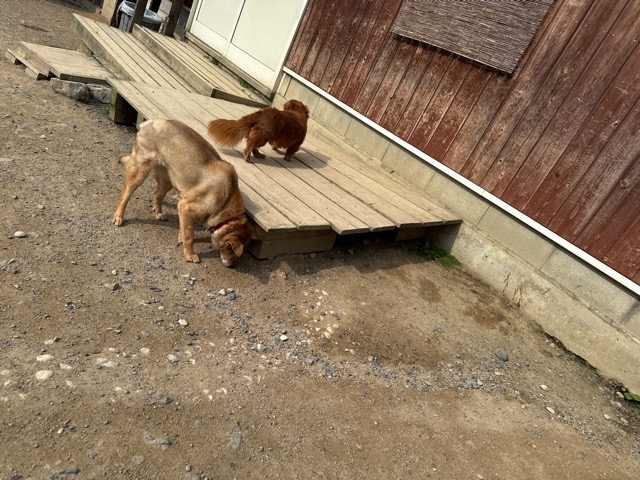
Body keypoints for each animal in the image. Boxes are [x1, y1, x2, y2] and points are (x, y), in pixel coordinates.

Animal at [112, 119, 256, 267]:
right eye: (230, 248)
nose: (232, 265)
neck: (225, 202)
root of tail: (150, 122)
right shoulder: (185, 207)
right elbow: (189, 235)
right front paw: (190, 254)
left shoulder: (185, 211)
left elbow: (185, 229)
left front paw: (181, 236)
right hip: (139, 172)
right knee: (125, 195)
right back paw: (119, 216)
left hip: (168, 178)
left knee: (157, 195)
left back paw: (158, 213)